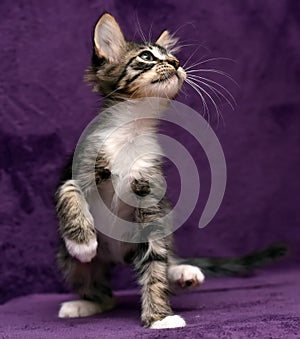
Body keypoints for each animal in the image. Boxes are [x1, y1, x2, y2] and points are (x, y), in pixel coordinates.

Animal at [55, 13, 288, 330]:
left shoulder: (150, 201)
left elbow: (155, 264)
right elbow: (69, 190)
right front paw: (81, 241)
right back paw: (81, 303)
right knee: (101, 293)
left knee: (163, 262)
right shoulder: (76, 166)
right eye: (146, 56)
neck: (132, 132)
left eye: (173, 56)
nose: (177, 63)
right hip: (70, 264)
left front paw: (159, 318)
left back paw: (182, 272)